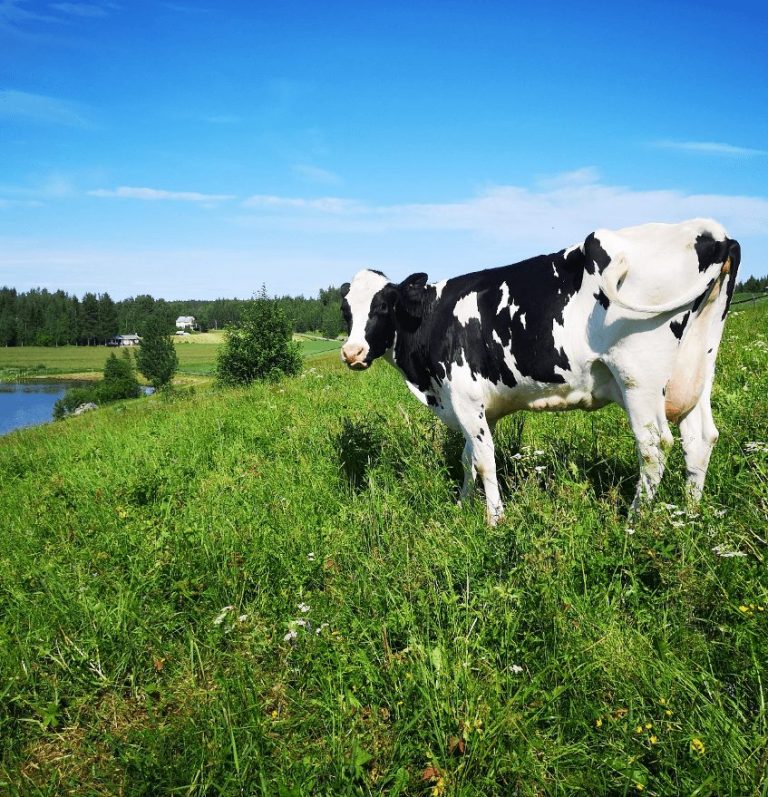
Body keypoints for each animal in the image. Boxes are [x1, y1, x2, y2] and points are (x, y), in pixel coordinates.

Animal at [339, 218, 740, 524]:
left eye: (383, 306)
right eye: (346, 311)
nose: (351, 352)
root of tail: (708, 231)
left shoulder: (465, 398)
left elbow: (485, 462)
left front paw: (494, 520)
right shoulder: (474, 405)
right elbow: (469, 459)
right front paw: (462, 504)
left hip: (638, 376)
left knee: (655, 446)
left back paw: (634, 522)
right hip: (697, 367)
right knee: (700, 439)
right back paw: (688, 516)